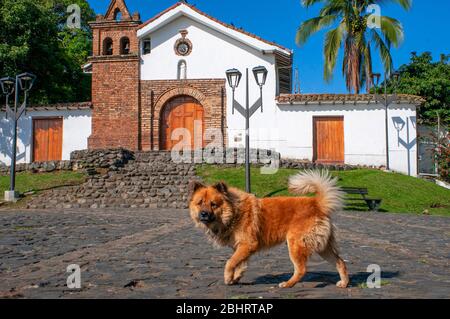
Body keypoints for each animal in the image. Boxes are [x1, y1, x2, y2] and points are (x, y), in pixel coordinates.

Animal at [188, 171, 350, 288]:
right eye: (200, 203)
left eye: (213, 204)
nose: (203, 214)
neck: (234, 211)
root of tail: (316, 203)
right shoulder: (242, 247)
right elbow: (240, 263)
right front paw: (236, 277)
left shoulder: (248, 244)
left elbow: (230, 262)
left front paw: (228, 278)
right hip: (321, 246)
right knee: (340, 262)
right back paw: (344, 283)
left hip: (295, 244)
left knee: (301, 269)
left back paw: (288, 284)